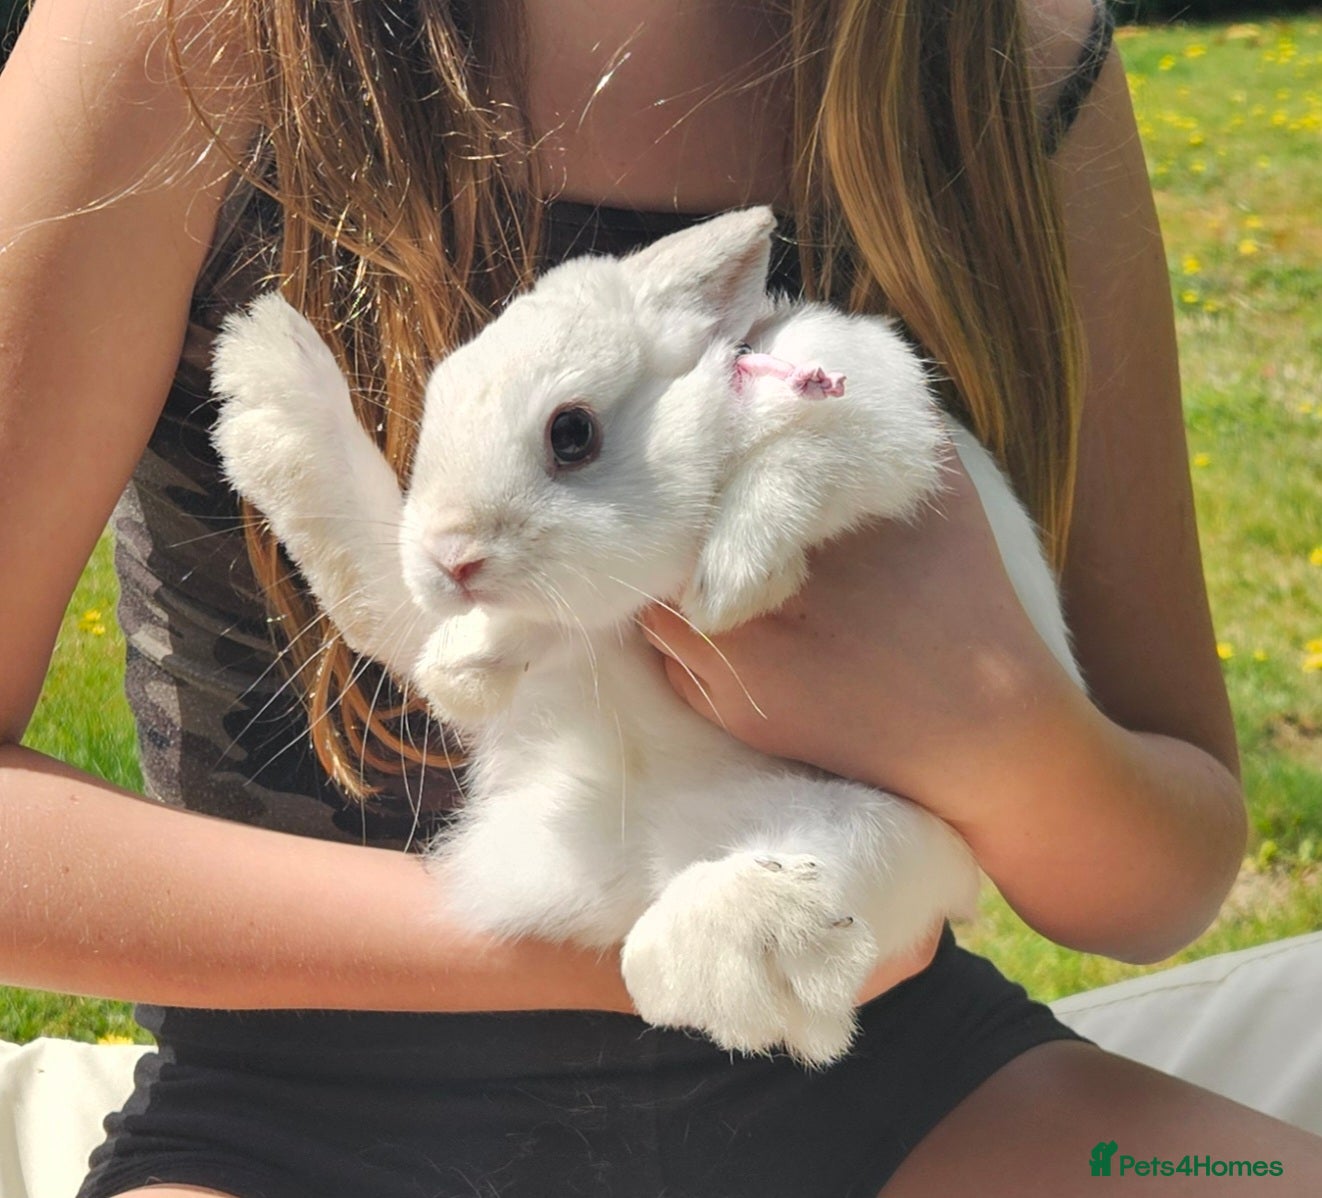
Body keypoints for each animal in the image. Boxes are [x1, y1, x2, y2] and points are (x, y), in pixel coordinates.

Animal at [211, 206, 1082, 1067]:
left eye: (572, 433)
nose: (451, 557)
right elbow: (510, 632)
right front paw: (464, 666)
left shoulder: (877, 412)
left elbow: (805, 456)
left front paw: (732, 577)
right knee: (375, 598)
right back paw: (268, 368)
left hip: (904, 836)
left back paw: (709, 955)